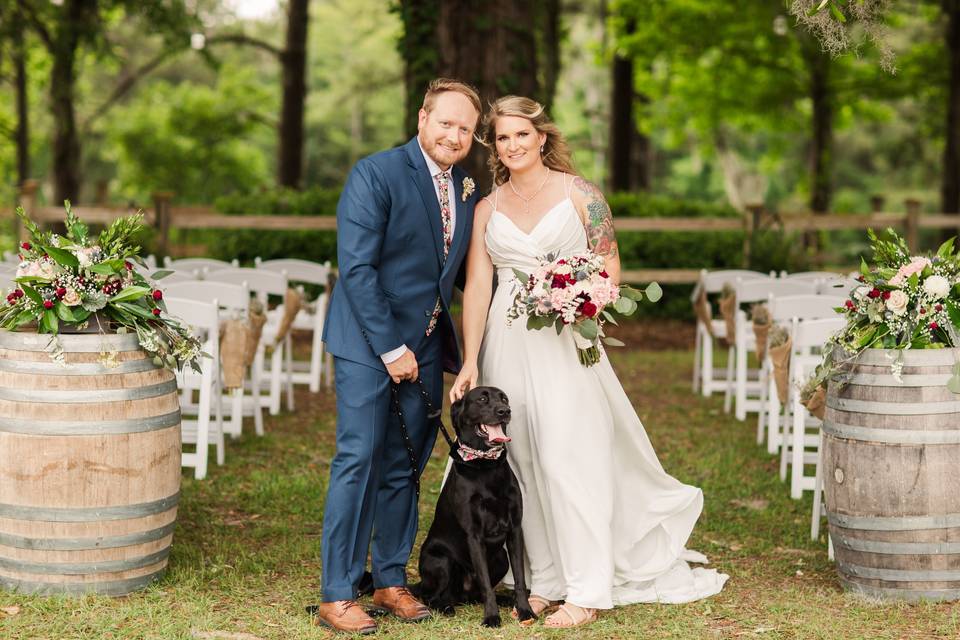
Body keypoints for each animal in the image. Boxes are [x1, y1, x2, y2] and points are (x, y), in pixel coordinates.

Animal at [416, 384, 536, 624]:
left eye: (504, 398)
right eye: (482, 399)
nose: (505, 411)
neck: (485, 465)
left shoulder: (515, 530)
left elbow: (519, 580)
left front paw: (524, 610)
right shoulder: (475, 535)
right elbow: (486, 584)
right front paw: (491, 618)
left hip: (501, 558)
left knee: (476, 592)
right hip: (440, 560)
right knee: (432, 596)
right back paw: (445, 607)